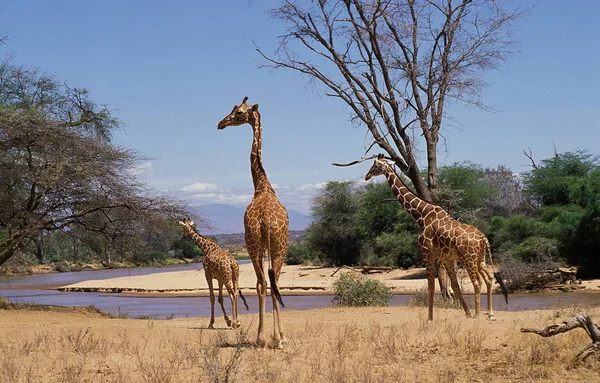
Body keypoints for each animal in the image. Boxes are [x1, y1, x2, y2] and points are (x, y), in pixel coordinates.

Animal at [217, 97, 290, 348]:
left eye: (238, 112)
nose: (220, 123)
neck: (261, 184)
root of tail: (266, 219)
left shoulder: (255, 248)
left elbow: (261, 285)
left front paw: (266, 336)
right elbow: (273, 283)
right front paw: (278, 336)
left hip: (254, 247)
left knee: (263, 284)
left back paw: (262, 337)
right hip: (278, 248)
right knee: (273, 282)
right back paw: (278, 337)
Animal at [364, 154, 508, 320]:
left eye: (375, 165)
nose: (367, 176)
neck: (421, 215)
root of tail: (483, 238)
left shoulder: (426, 252)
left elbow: (431, 286)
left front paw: (430, 317)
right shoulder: (446, 258)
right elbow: (454, 286)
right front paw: (466, 313)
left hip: (469, 259)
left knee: (477, 282)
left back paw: (478, 315)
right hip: (480, 258)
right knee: (489, 278)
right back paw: (489, 314)